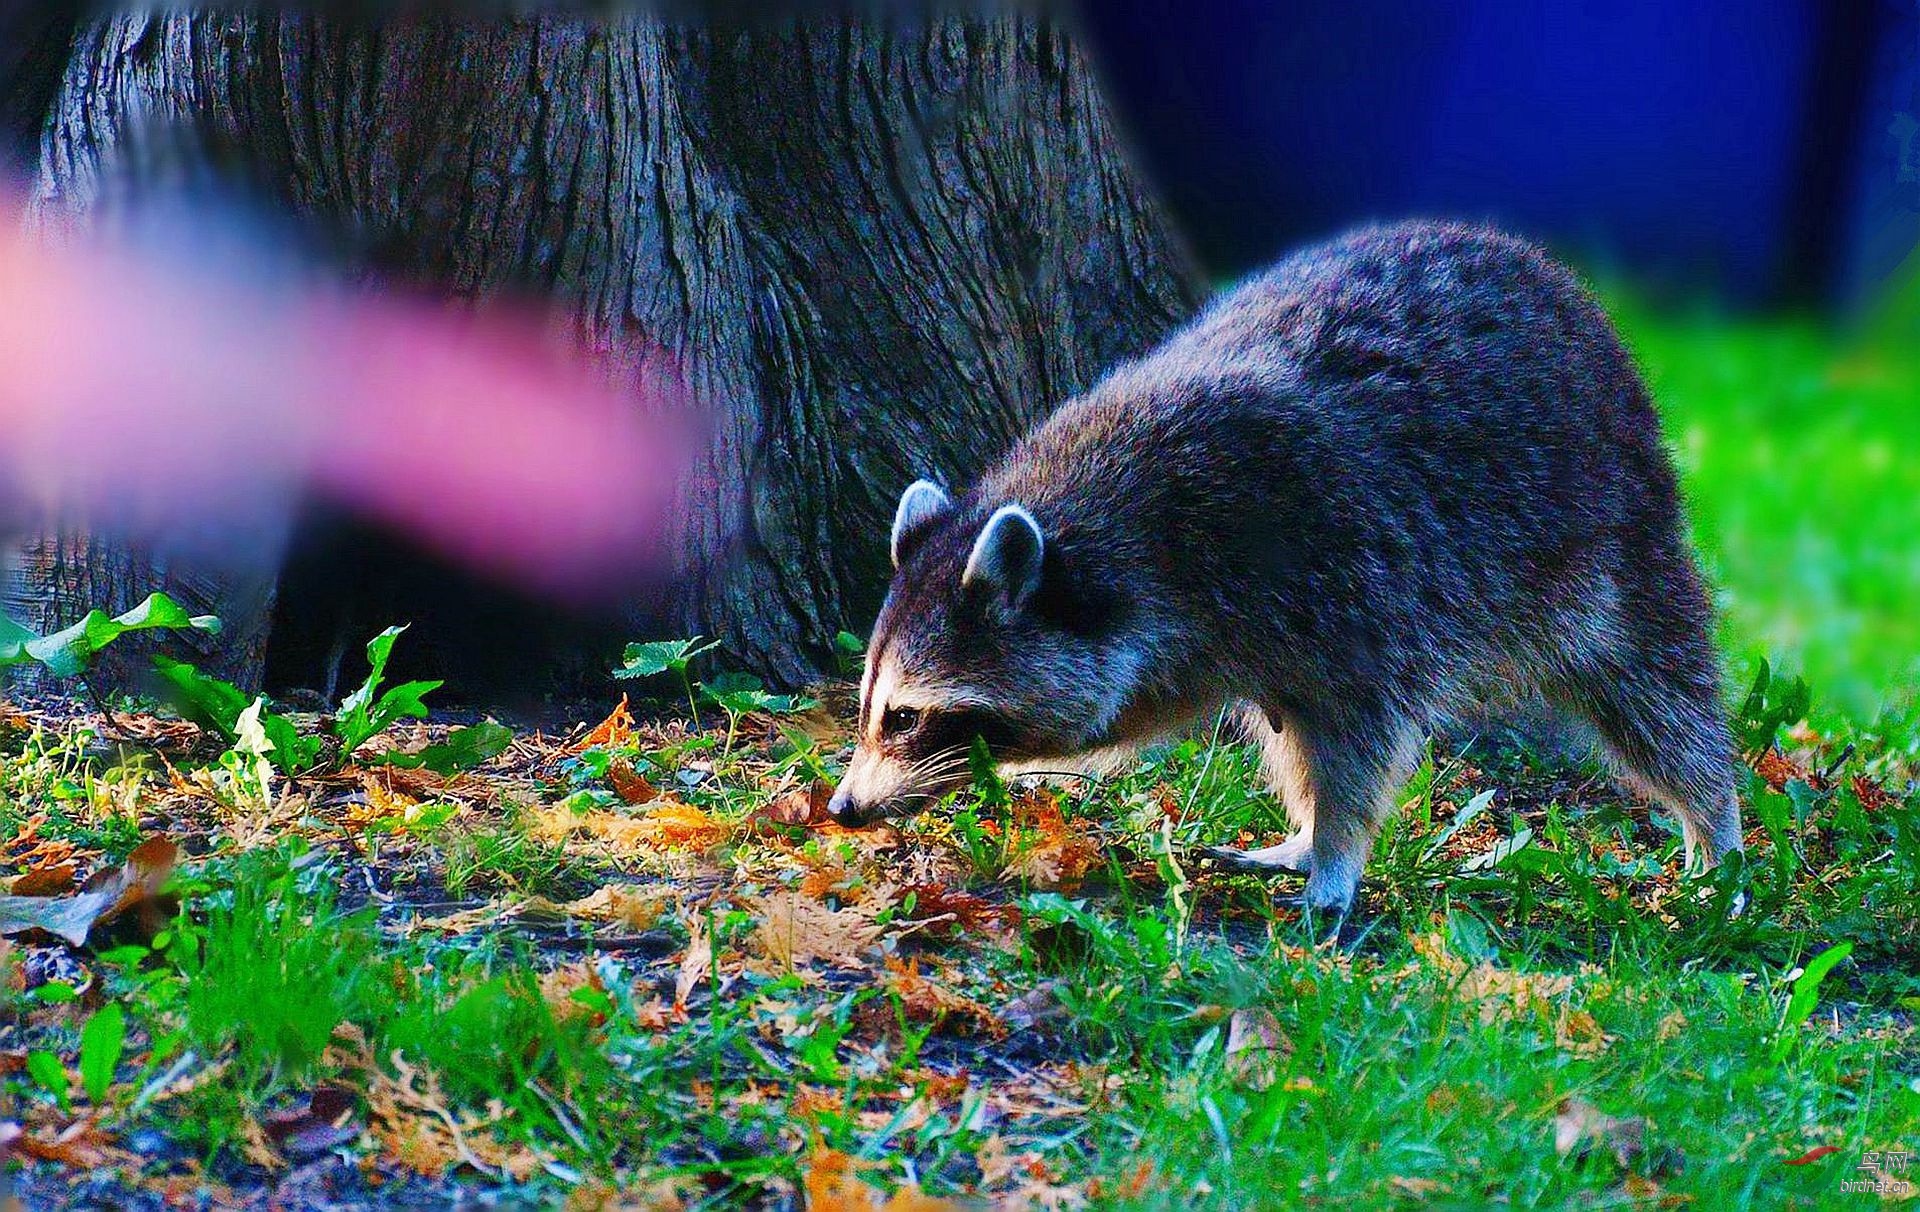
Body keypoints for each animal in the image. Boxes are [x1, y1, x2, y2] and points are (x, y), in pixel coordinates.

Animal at [825, 222, 1743, 933]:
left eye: (905, 717)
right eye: (867, 704)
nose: (841, 807)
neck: (1116, 533)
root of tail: (1554, 278)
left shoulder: (1341, 566)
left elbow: (1362, 740)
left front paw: (1338, 850)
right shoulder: (1193, 637)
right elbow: (1143, 714)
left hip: (1609, 532)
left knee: (1657, 690)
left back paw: (1715, 823)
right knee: (1286, 735)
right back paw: (1296, 837)